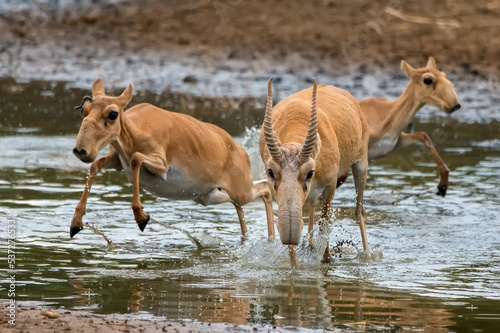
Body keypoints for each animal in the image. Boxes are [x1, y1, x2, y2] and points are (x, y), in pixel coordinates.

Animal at [69, 78, 274, 239]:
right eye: (83, 110)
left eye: (113, 114)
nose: (81, 150)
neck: (136, 131)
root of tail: (240, 150)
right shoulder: (117, 160)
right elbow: (95, 165)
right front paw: (75, 223)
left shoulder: (161, 165)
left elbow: (136, 158)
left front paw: (141, 217)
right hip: (209, 196)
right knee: (243, 202)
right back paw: (249, 238)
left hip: (241, 190)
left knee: (264, 189)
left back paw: (271, 239)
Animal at [260, 78, 370, 268]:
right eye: (270, 171)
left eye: (310, 172)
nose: (290, 234)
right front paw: (295, 268)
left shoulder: (330, 184)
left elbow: (325, 221)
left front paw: (326, 259)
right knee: (312, 204)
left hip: (361, 163)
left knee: (359, 211)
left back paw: (368, 255)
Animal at [340, 57, 460, 195]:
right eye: (428, 80)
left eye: (444, 75)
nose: (455, 105)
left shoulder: (394, 143)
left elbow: (422, 135)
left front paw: (442, 186)